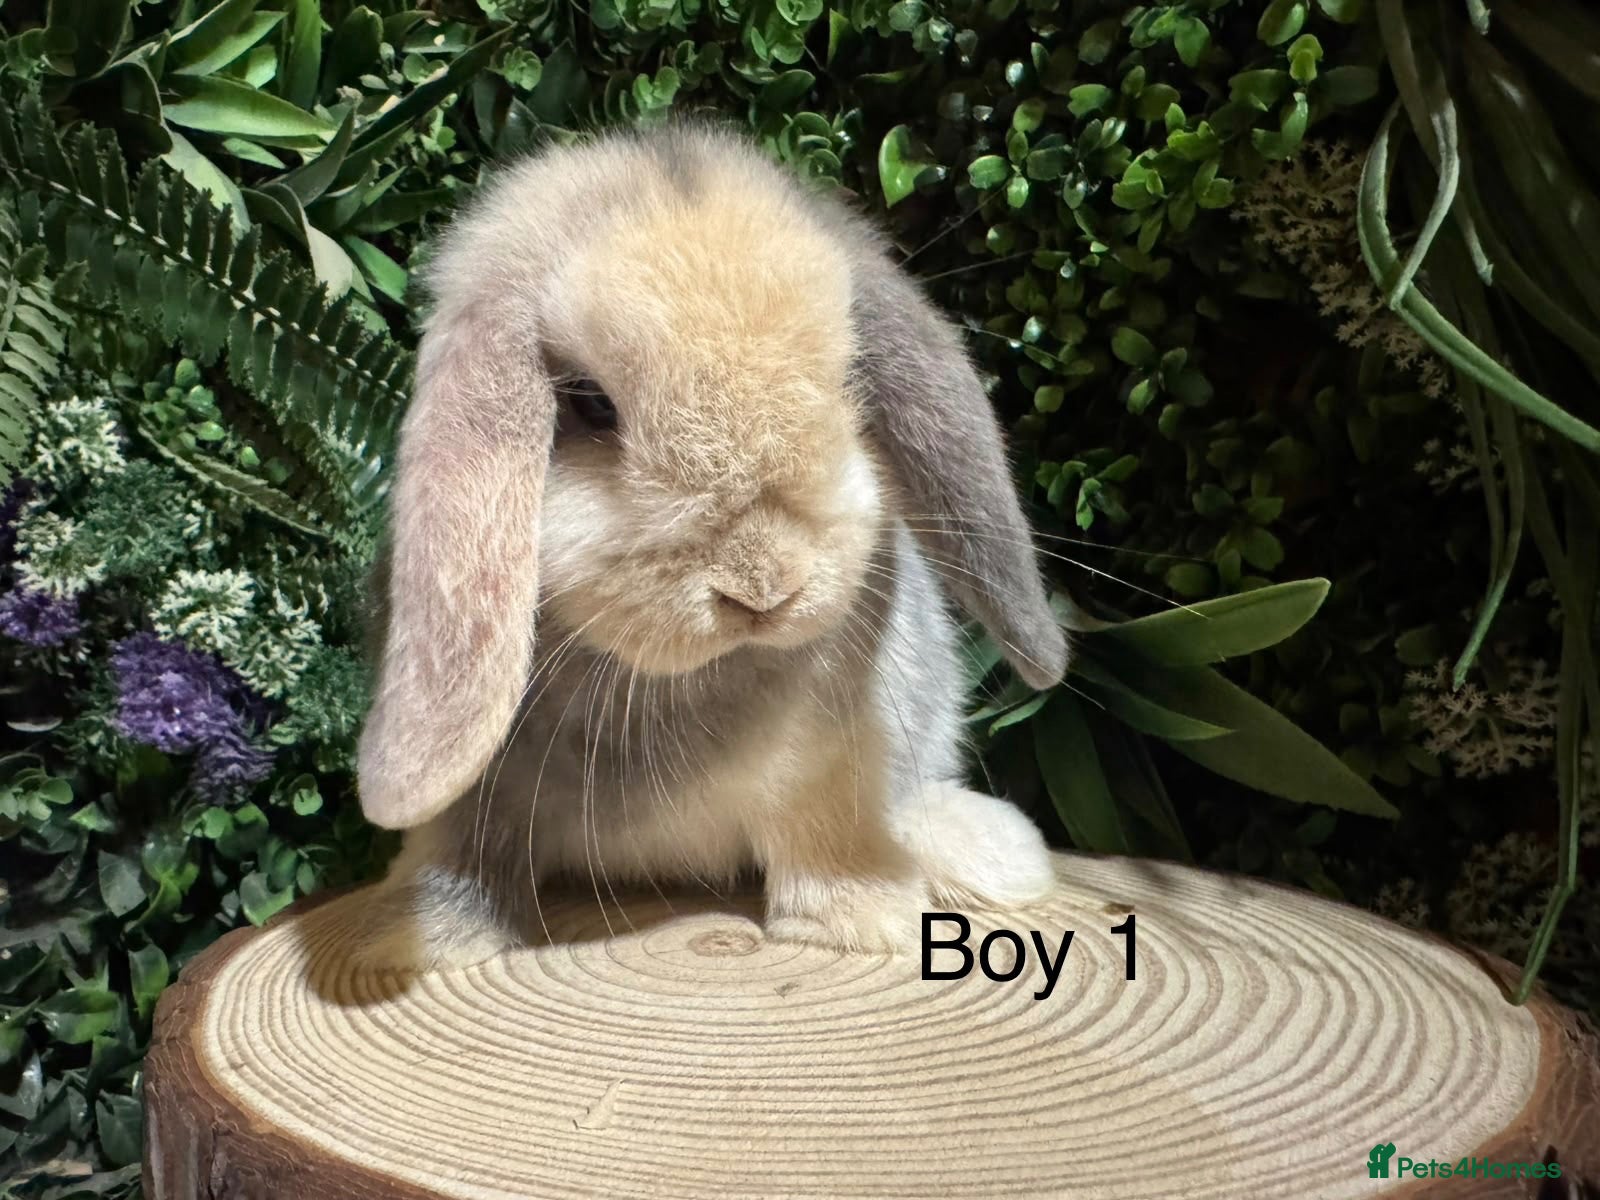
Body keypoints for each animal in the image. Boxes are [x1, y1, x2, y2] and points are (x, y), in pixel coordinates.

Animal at [353, 118, 1071, 971]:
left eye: (848, 377)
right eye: (591, 404)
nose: (762, 587)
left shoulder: (830, 764)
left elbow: (825, 837)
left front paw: (860, 921)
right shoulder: (474, 799)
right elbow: (462, 847)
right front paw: (425, 936)